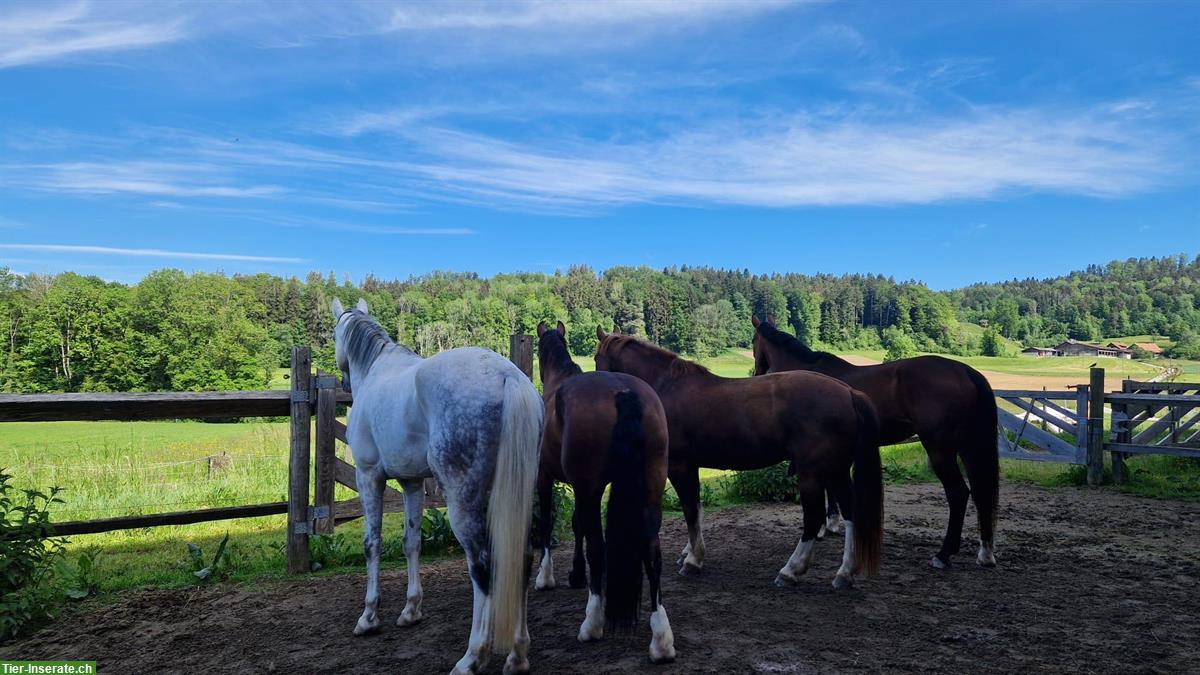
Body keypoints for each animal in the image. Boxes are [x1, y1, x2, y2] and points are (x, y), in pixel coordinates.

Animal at [331, 299, 542, 672]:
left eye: (333, 334)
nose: (342, 379)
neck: (376, 371)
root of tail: (508, 376)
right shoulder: (412, 483)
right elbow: (411, 542)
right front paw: (410, 610)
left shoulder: (369, 477)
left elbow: (372, 544)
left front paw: (368, 617)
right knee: (523, 557)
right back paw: (517, 655)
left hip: (464, 504)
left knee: (482, 567)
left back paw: (472, 657)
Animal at [535, 321, 676, 662]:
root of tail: (623, 393)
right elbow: (576, 525)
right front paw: (575, 574)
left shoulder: (548, 478)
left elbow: (548, 522)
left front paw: (546, 577)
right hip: (650, 487)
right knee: (652, 553)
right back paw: (661, 638)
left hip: (590, 487)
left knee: (598, 548)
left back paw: (593, 622)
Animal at [590, 324, 883, 583]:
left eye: (595, 358)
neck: (667, 388)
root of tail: (848, 392)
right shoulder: (692, 466)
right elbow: (696, 510)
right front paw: (691, 553)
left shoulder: (679, 466)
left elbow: (690, 511)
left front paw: (693, 560)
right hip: (836, 470)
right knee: (850, 512)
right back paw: (845, 572)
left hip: (812, 473)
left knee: (813, 519)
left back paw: (791, 571)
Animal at [748, 314, 1003, 566]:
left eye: (752, 341)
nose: (756, 374)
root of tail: (966, 371)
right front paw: (832, 523)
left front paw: (822, 527)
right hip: (968, 449)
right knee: (981, 493)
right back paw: (985, 553)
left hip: (940, 450)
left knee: (958, 494)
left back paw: (944, 554)